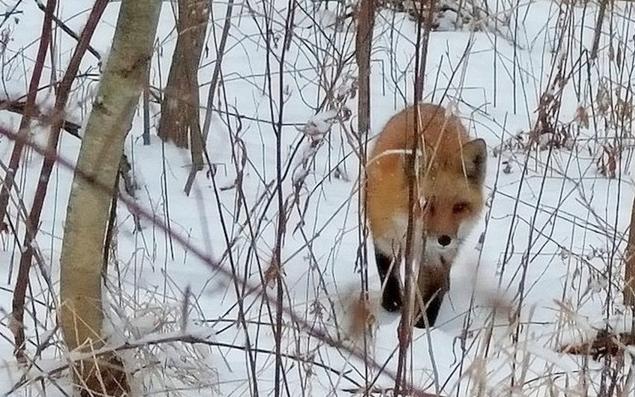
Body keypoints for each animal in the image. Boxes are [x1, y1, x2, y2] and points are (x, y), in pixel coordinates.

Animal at [362, 103, 486, 328]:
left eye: (459, 207)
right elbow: (388, 271)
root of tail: (426, 105)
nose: (444, 239)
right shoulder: (384, 235)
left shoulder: (436, 258)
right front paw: (392, 302)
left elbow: (430, 298)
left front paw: (420, 328)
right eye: (426, 204)